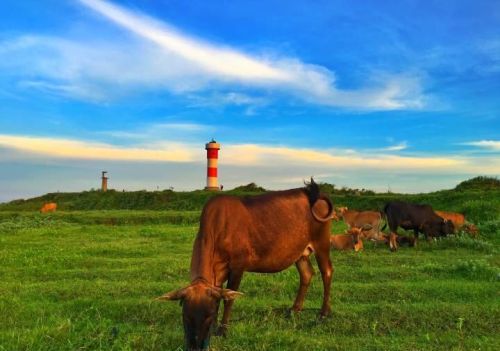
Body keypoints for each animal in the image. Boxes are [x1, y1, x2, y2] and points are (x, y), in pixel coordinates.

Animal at [158, 180, 334, 350]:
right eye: (185, 316)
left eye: (208, 316)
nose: (195, 345)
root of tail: (313, 192)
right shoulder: (218, 274)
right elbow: (220, 297)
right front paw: (216, 327)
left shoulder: (238, 266)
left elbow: (229, 299)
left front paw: (222, 329)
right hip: (300, 252)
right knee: (306, 274)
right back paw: (294, 310)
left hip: (322, 243)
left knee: (327, 271)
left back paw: (323, 314)